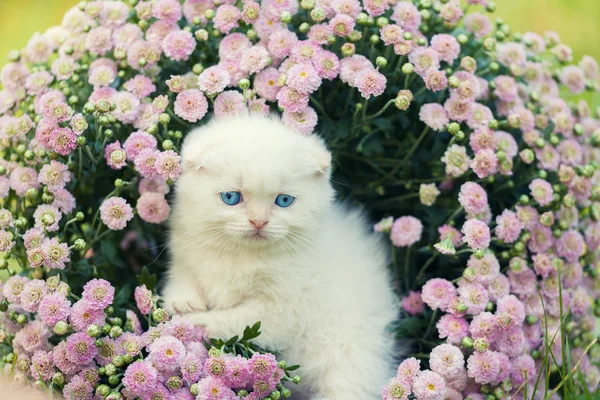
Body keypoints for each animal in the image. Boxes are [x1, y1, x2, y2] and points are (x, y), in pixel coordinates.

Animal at [162, 115, 400, 400]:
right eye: (231, 197)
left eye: (284, 200)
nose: (258, 221)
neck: (242, 255)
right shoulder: (186, 242)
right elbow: (182, 270)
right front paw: (183, 302)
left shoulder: (284, 310)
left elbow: (237, 321)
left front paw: (196, 322)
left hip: (350, 360)